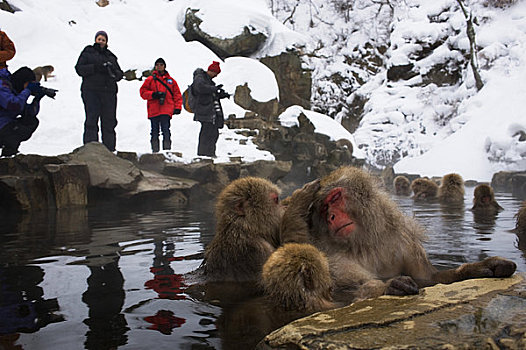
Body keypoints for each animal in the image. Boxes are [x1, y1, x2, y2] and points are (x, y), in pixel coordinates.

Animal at [262, 167, 516, 312]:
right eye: (324, 208)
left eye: (335, 198)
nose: (332, 216)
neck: (362, 243)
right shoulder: (327, 254)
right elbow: (341, 290)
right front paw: (388, 287)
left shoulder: (405, 243)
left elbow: (429, 278)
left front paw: (476, 268)